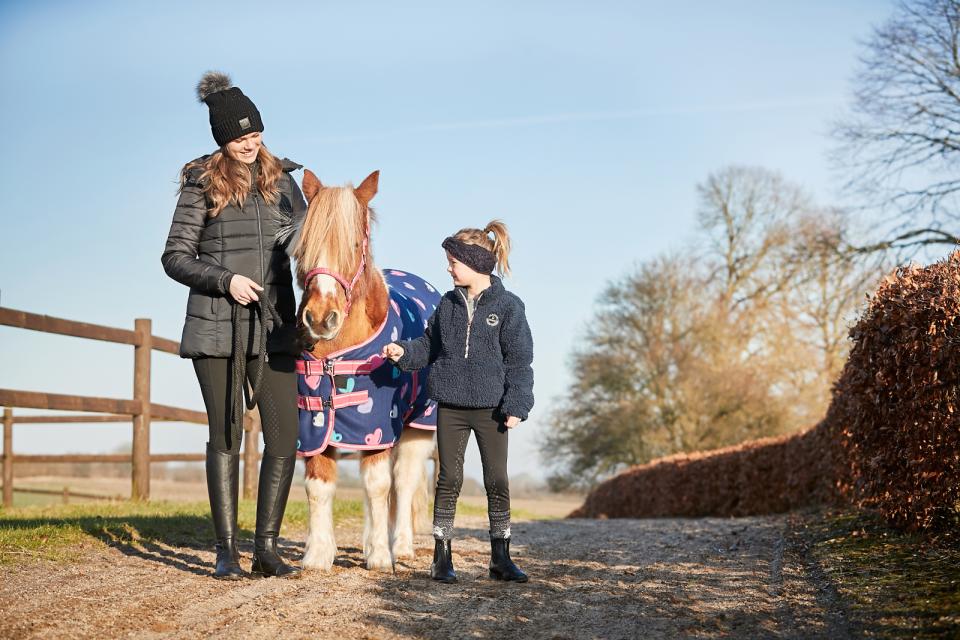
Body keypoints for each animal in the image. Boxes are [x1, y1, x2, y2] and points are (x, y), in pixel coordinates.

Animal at [284, 169, 436, 568]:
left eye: (354, 244)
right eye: (302, 248)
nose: (321, 318)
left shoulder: (377, 424)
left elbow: (379, 485)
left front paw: (381, 557)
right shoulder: (315, 425)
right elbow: (319, 486)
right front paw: (317, 555)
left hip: (416, 427)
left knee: (403, 480)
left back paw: (400, 546)